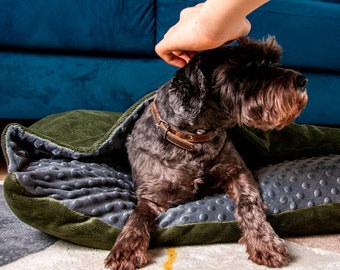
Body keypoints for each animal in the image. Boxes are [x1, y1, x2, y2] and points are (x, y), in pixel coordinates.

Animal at [103, 36, 308, 270]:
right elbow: (137, 216)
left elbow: (249, 204)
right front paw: (126, 248)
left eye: (272, 60)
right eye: (248, 66)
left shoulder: (238, 171)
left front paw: (265, 241)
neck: (194, 140)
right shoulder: (153, 196)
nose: (302, 80)